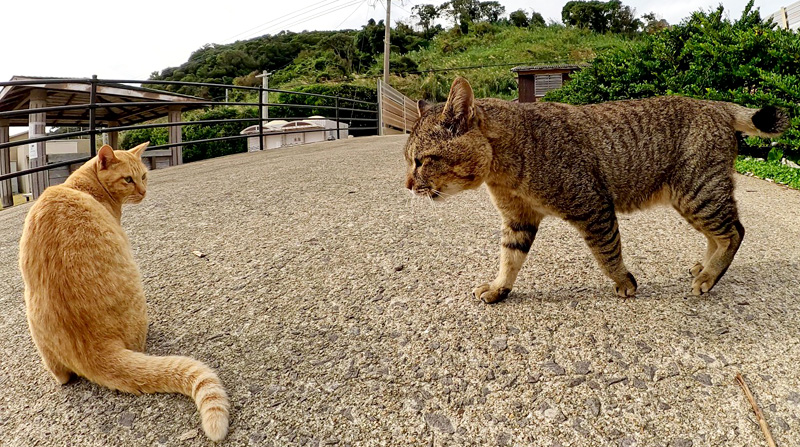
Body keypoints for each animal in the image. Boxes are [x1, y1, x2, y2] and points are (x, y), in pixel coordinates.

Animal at [18, 144, 230, 440]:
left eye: (144, 176)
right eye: (128, 180)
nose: (143, 191)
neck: (80, 186)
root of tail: (94, 349)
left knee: (62, 377)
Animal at [404, 78, 792, 304]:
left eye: (421, 161)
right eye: (409, 161)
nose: (406, 185)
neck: (506, 167)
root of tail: (715, 103)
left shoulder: (592, 206)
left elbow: (607, 252)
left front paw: (624, 281)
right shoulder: (518, 220)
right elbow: (509, 259)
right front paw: (499, 288)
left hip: (698, 192)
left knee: (735, 231)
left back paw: (710, 277)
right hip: (692, 198)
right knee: (720, 234)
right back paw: (705, 268)